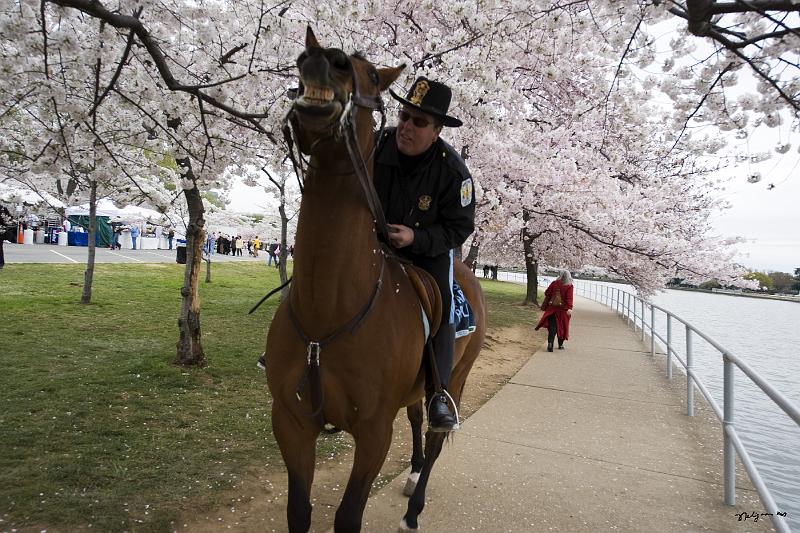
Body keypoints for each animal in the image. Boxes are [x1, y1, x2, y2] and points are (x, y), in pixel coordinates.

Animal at [266, 29, 484, 532]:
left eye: (368, 74)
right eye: (302, 62)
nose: (322, 59)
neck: (328, 310)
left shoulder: (373, 433)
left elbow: (348, 516)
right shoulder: (290, 422)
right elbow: (298, 512)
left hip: (457, 376)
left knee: (435, 433)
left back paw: (413, 510)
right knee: (416, 416)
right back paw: (414, 471)